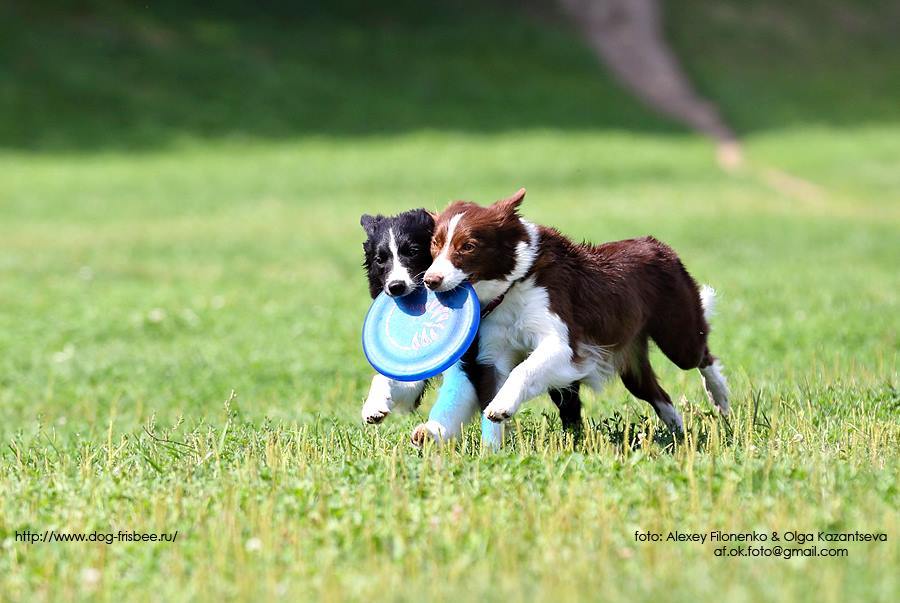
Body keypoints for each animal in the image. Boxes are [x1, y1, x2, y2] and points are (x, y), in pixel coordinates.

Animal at [424, 191, 732, 432]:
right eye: (435, 244)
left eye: (468, 246)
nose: (430, 280)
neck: (514, 284)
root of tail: (658, 245)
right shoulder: (494, 349)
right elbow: (490, 382)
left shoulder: (562, 342)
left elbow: (524, 369)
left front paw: (502, 405)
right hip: (631, 362)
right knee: (656, 392)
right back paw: (676, 428)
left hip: (678, 334)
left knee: (702, 356)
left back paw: (720, 397)